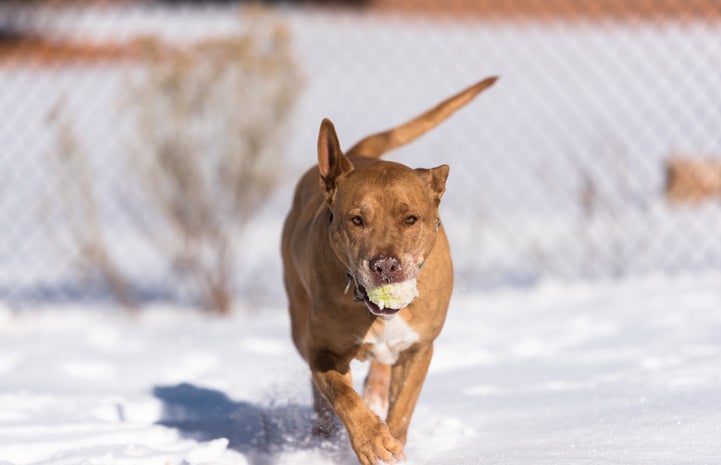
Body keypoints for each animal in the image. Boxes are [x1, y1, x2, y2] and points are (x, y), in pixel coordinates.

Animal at [280, 77, 496, 464]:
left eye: (410, 218)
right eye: (356, 219)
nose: (385, 265)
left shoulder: (419, 349)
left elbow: (404, 407)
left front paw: (391, 433)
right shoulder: (322, 350)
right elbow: (343, 397)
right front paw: (371, 440)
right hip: (298, 319)